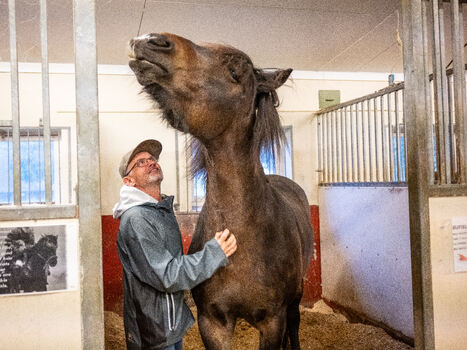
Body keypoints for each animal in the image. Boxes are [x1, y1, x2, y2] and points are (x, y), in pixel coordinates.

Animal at [128, 32, 314, 350]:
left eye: (235, 70)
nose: (151, 40)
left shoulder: (272, 322)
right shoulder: (213, 322)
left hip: (296, 297)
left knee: (294, 325)